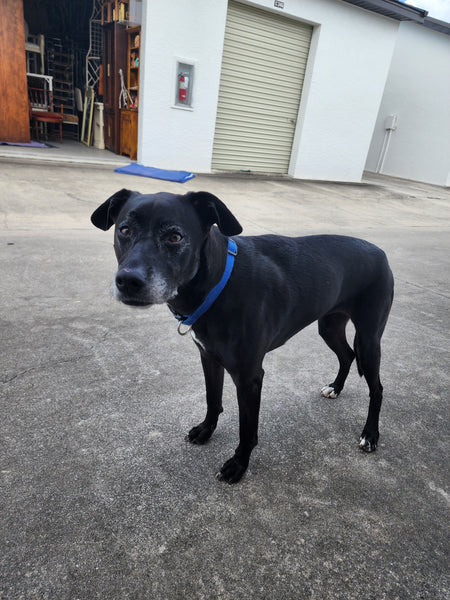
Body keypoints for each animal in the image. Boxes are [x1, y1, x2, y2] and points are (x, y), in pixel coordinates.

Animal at [91, 191, 394, 482]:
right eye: (125, 230)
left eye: (175, 236)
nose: (128, 281)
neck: (218, 283)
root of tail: (381, 252)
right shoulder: (209, 358)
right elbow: (212, 399)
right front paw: (206, 430)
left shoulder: (249, 377)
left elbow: (247, 430)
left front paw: (238, 464)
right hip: (329, 326)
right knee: (347, 355)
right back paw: (336, 387)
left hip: (369, 339)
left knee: (377, 387)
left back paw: (370, 434)